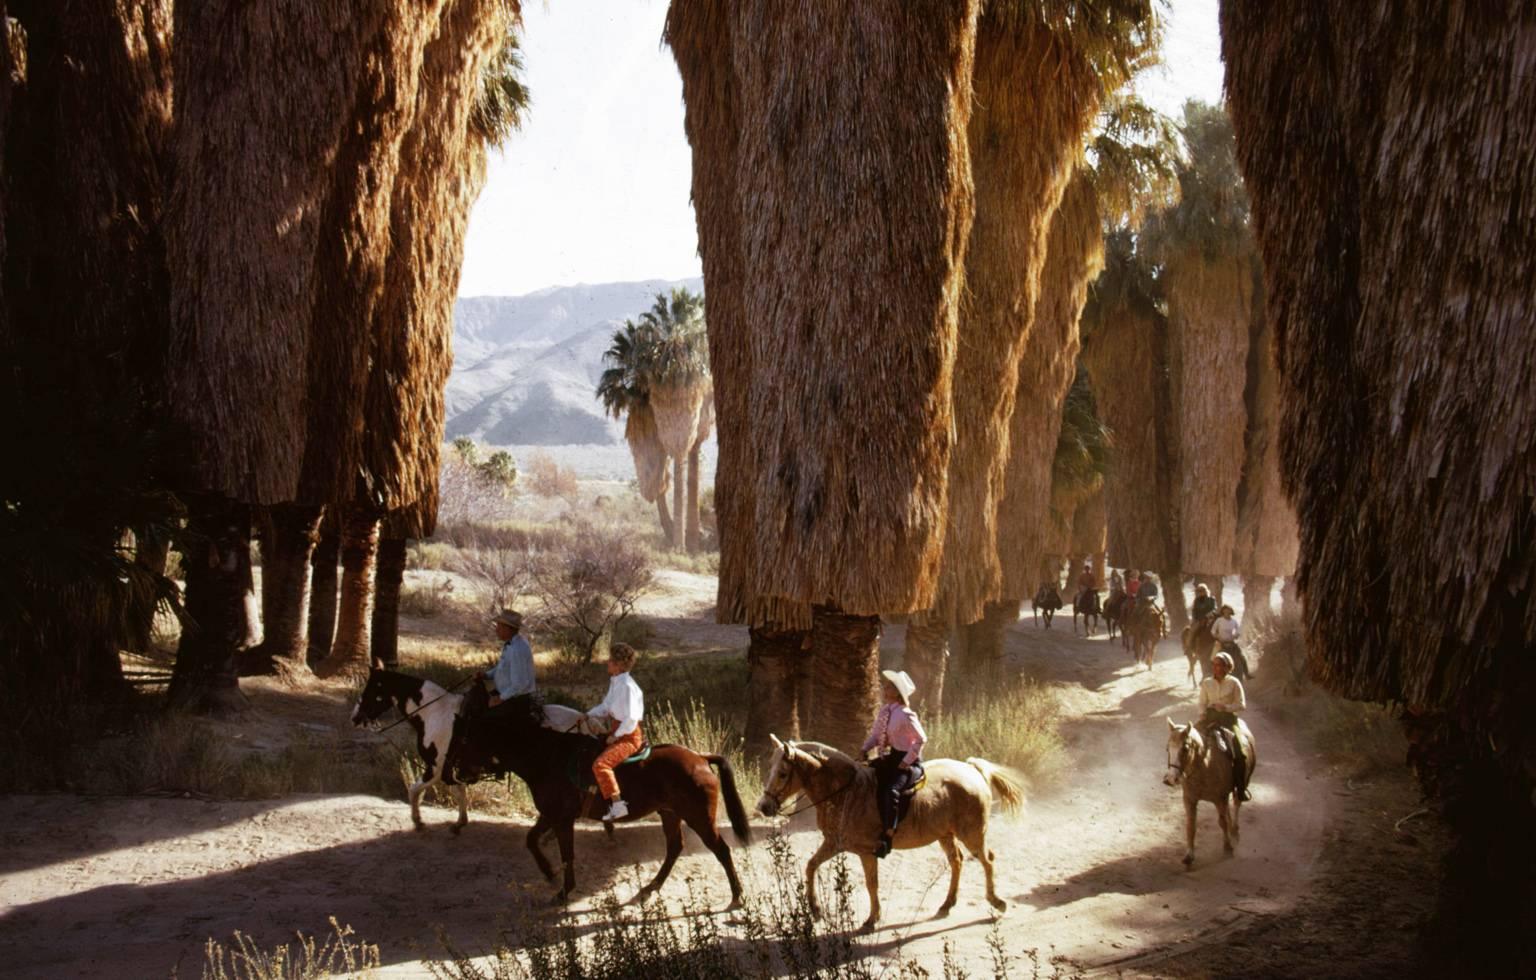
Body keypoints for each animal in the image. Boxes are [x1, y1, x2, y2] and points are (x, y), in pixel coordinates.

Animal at [445, 682, 749, 909]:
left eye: (463, 739)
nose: (453, 773)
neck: (546, 756)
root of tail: (701, 758)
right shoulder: (550, 814)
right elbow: (531, 840)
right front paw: (549, 873)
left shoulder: (562, 819)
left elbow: (567, 854)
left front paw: (564, 891)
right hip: (670, 813)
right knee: (675, 848)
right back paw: (650, 888)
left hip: (699, 817)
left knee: (721, 850)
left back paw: (737, 897)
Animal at [752, 737, 1026, 933]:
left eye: (783, 773)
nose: (763, 807)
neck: (846, 792)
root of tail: (971, 769)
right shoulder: (834, 844)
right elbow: (810, 867)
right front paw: (816, 909)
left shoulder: (866, 852)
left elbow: (871, 884)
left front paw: (872, 919)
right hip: (945, 834)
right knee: (956, 861)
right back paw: (947, 904)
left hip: (972, 833)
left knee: (987, 860)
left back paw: (996, 901)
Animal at [1161, 718, 1259, 872]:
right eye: (1167, 748)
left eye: (1185, 749)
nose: (1170, 779)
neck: (1205, 766)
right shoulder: (1189, 800)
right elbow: (1191, 826)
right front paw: (1189, 856)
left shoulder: (1219, 799)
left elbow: (1222, 822)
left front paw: (1227, 848)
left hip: (1242, 784)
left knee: (1236, 804)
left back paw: (1234, 831)